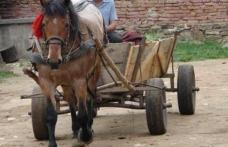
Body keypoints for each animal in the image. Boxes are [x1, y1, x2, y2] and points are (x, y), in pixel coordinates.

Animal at [23, 0, 104, 146]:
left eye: (66, 24)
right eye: (44, 24)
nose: (53, 59)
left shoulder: (79, 80)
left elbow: (82, 112)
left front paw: (85, 135)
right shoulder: (46, 81)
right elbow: (51, 115)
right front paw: (52, 142)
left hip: (94, 72)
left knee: (89, 99)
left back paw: (88, 125)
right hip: (66, 81)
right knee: (71, 101)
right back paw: (75, 128)